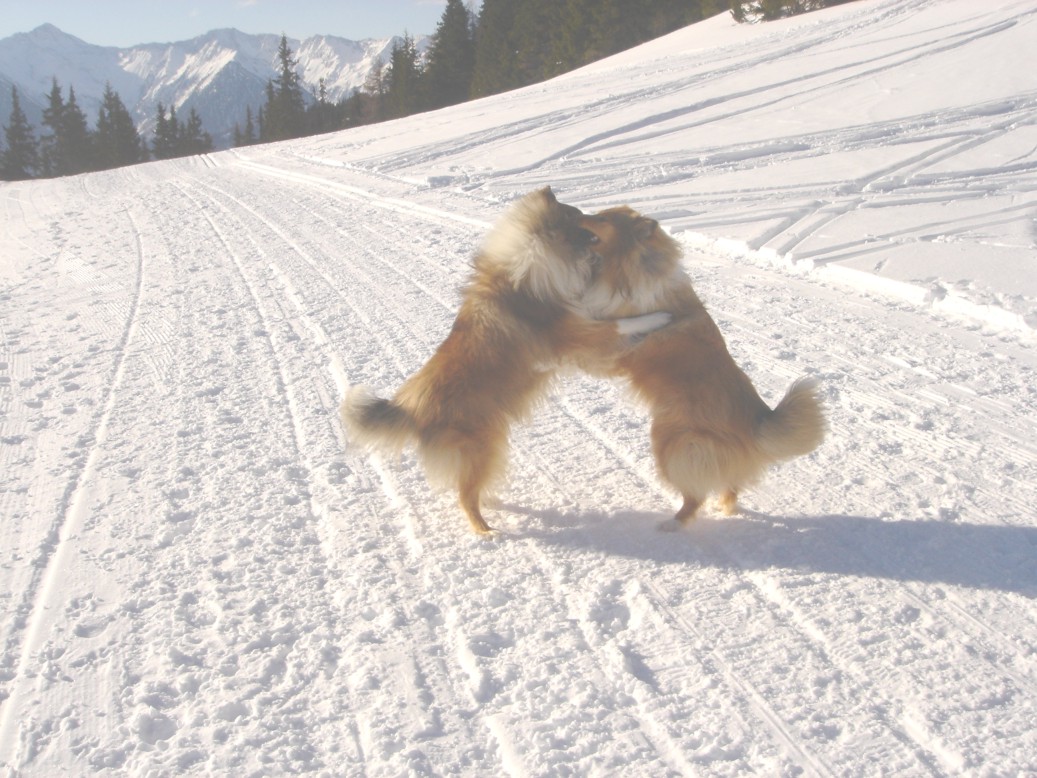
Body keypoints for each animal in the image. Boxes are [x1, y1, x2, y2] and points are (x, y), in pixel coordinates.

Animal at [340, 187, 663, 535]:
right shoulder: (575, 334)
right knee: (464, 496)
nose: (597, 219)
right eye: (576, 216)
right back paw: (487, 531)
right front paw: (660, 316)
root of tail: (411, 407)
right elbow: (621, 324)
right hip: (483, 444)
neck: (537, 250)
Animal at [576, 204, 825, 526]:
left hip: (673, 441)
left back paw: (672, 523)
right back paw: (725, 509)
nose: (574, 213)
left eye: (602, 218)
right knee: (730, 488)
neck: (632, 267)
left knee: (694, 497)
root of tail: (755, 424)